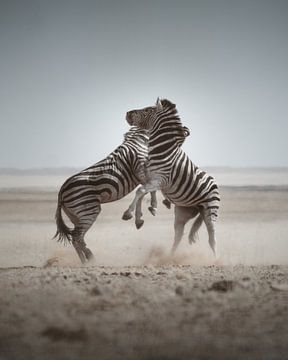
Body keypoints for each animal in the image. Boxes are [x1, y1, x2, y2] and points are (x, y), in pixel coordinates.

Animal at [54, 126, 166, 264]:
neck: (138, 139)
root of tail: (62, 190)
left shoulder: (143, 174)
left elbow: (144, 192)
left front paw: (139, 217)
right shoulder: (141, 169)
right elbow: (148, 190)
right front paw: (151, 208)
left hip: (74, 215)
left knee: (78, 238)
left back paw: (87, 259)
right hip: (88, 210)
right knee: (76, 237)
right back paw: (88, 261)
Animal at [124, 98, 220, 256]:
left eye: (147, 110)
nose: (127, 113)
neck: (162, 150)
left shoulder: (160, 180)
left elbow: (140, 191)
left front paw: (128, 213)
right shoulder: (149, 179)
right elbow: (141, 192)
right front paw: (139, 218)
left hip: (211, 209)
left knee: (212, 237)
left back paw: (215, 259)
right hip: (184, 211)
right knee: (179, 235)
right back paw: (170, 256)